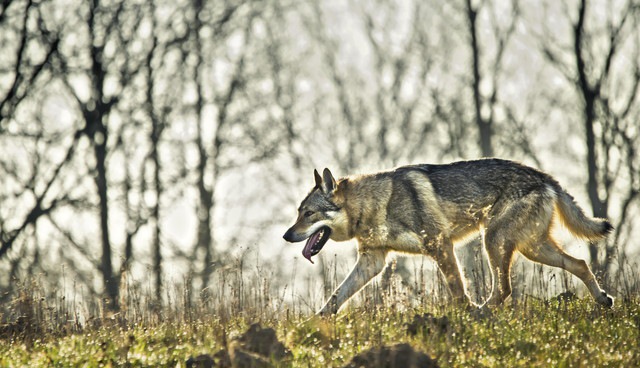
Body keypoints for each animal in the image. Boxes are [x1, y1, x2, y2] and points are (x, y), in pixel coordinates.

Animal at [282, 157, 612, 314]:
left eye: (308, 214)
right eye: (298, 212)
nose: (286, 236)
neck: (375, 204)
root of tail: (545, 177)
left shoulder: (440, 245)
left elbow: (457, 291)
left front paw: (464, 316)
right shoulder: (372, 262)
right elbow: (335, 297)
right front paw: (314, 324)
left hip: (495, 241)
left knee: (504, 289)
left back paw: (481, 314)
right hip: (532, 248)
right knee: (580, 263)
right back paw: (603, 299)